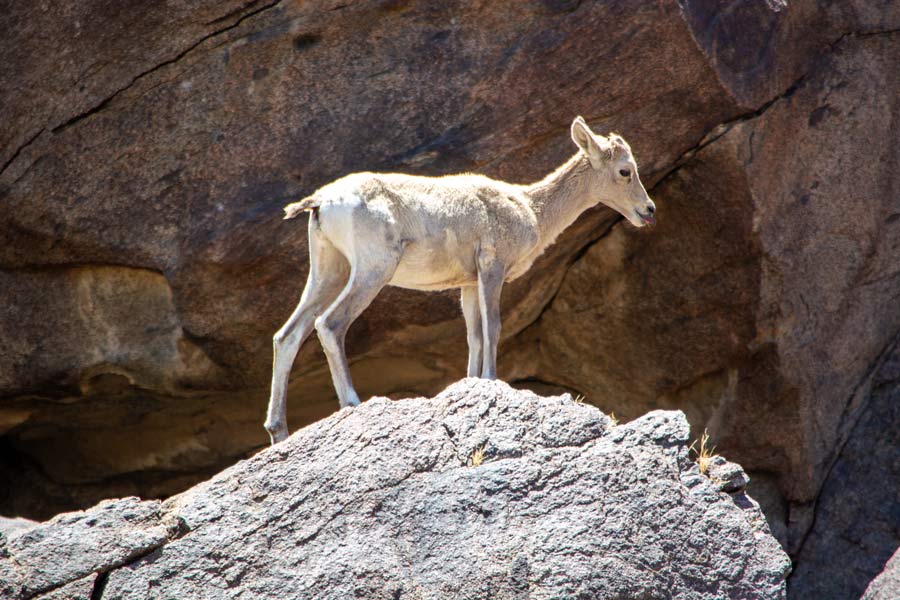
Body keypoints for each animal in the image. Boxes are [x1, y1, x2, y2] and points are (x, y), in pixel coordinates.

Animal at [264, 118, 656, 446]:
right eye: (625, 171)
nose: (648, 210)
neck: (531, 209)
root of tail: (323, 201)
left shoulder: (467, 285)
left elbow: (474, 336)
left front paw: (474, 382)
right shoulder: (492, 268)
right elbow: (494, 328)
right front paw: (492, 380)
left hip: (329, 272)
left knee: (287, 336)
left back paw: (278, 432)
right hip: (372, 270)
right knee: (330, 324)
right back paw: (352, 401)